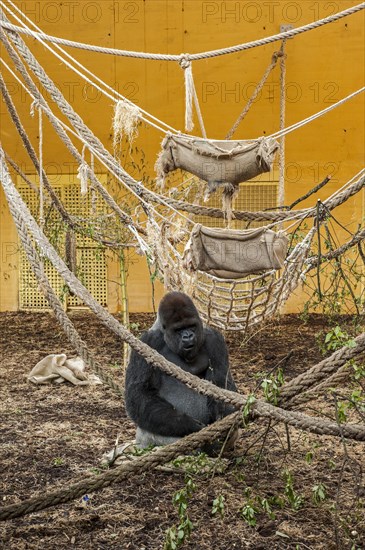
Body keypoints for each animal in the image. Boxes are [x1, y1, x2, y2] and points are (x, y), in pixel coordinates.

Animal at [124, 292, 236, 450]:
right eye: (179, 330)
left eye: (191, 326)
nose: (188, 336)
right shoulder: (147, 342)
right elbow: (140, 393)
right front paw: (190, 425)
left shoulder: (215, 340)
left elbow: (221, 385)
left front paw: (226, 414)